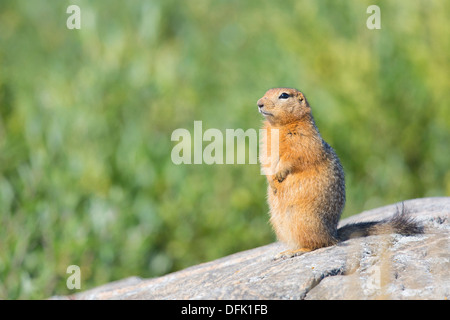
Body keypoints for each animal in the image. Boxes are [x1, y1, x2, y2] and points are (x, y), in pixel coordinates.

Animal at [256, 88, 422, 260]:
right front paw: (271, 181)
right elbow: (265, 161)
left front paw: (279, 174)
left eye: (284, 95)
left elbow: (295, 156)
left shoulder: (302, 139)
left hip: (304, 220)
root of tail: (334, 234)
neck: (277, 126)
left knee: (319, 244)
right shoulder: (265, 144)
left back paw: (295, 251)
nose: (259, 103)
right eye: (266, 92)